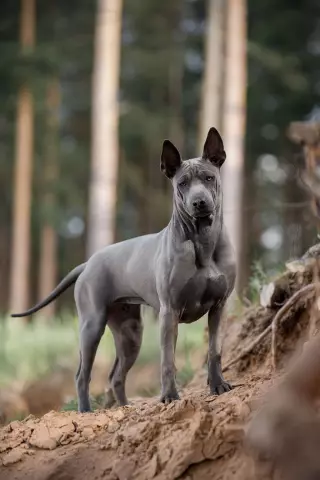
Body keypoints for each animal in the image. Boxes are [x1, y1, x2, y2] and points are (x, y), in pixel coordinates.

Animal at [11, 127, 235, 412]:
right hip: (92, 325)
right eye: (182, 183)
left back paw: (125, 407)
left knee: (115, 376)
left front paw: (218, 385)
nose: (199, 203)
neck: (202, 241)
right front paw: (169, 396)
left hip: (130, 333)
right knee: (82, 374)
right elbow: (167, 361)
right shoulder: (169, 312)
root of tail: (89, 262)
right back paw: (85, 411)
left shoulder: (219, 306)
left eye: (209, 178)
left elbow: (214, 350)